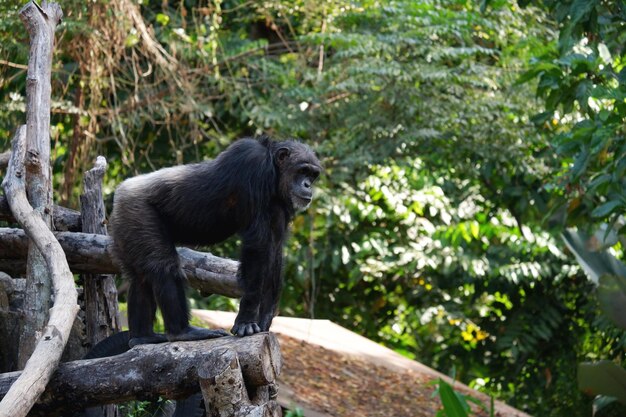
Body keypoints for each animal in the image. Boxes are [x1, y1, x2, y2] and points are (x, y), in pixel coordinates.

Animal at [108, 136, 322, 344]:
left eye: (312, 175)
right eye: (302, 170)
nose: (307, 185)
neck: (274, 171)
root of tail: (119, 193)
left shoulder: (281, 206)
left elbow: (274, 249)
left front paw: (264, 319)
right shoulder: (253, 166)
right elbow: (257, 246)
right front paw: (246, 321)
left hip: (126, 227)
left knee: (140, 277)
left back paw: (144, 336)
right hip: (139, 212)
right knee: (163, 267)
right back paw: (183, 332)